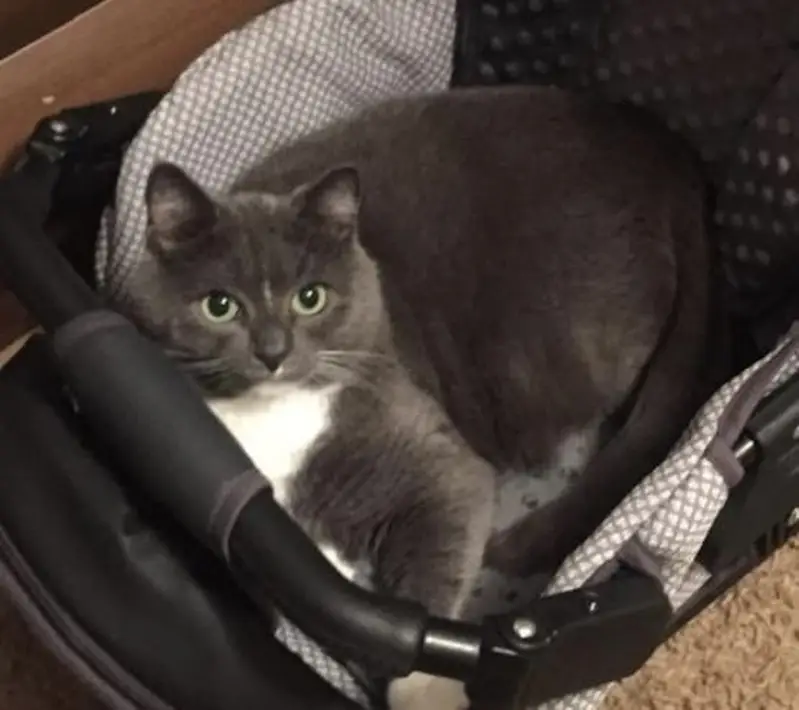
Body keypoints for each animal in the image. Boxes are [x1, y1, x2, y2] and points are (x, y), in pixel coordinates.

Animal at [124, 162, 495, 710]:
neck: (271, 412)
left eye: (311, 297)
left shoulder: (435, 457)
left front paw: (427, 692)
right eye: (219, 305)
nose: (273, 351)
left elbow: (436, 563)